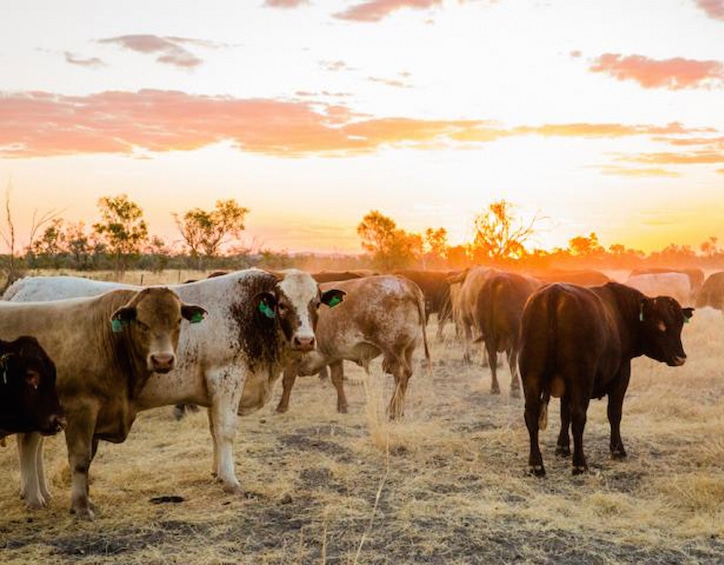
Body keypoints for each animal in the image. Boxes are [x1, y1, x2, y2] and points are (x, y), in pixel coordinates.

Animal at [516, 282, 692, 476]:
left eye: (680, 326)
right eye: (660, 325)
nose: (680, 357)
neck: (622, 313)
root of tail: (554, 293)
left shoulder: (566, 387)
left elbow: (564, 414)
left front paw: (562, 447)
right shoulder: (621, 374)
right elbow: (614, 414)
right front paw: (618, 450)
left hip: (531, 376)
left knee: (531, 415)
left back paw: (536, 465)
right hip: (581, 378)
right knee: (579, 416)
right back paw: (579, 464)